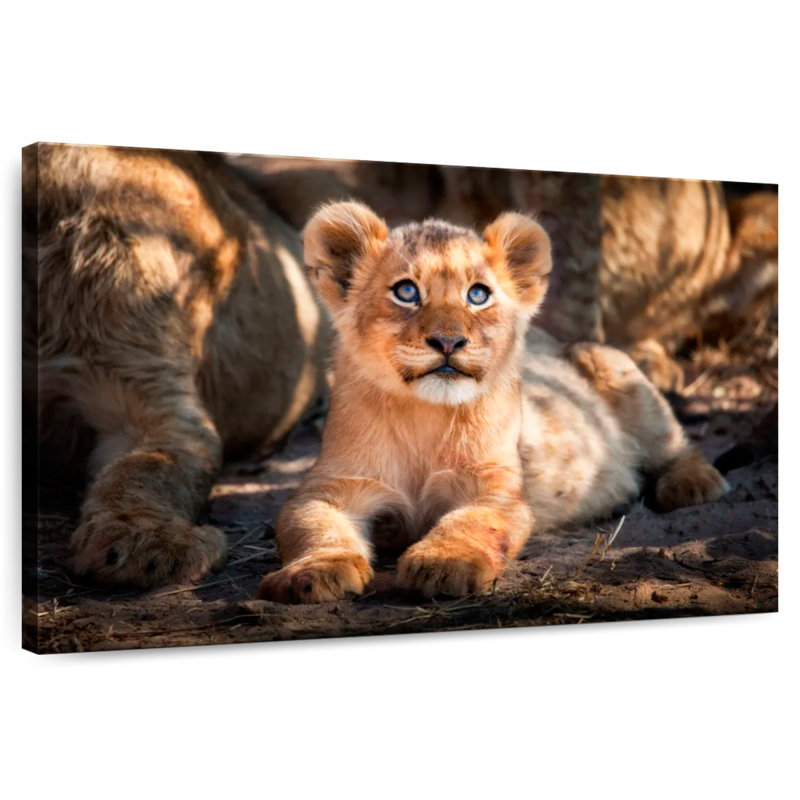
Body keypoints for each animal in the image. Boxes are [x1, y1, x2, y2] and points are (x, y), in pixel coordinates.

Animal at [256, 202, 728, 603]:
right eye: (406, 292)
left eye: (477, 295)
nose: (449, 342)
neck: (422, 416)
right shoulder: (332, 486)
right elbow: (311, 526)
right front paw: (314, 573)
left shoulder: (496, 488)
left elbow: (470, 523)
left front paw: (443, 563)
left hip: (612, 365)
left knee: (674, 443)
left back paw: (691, 483)